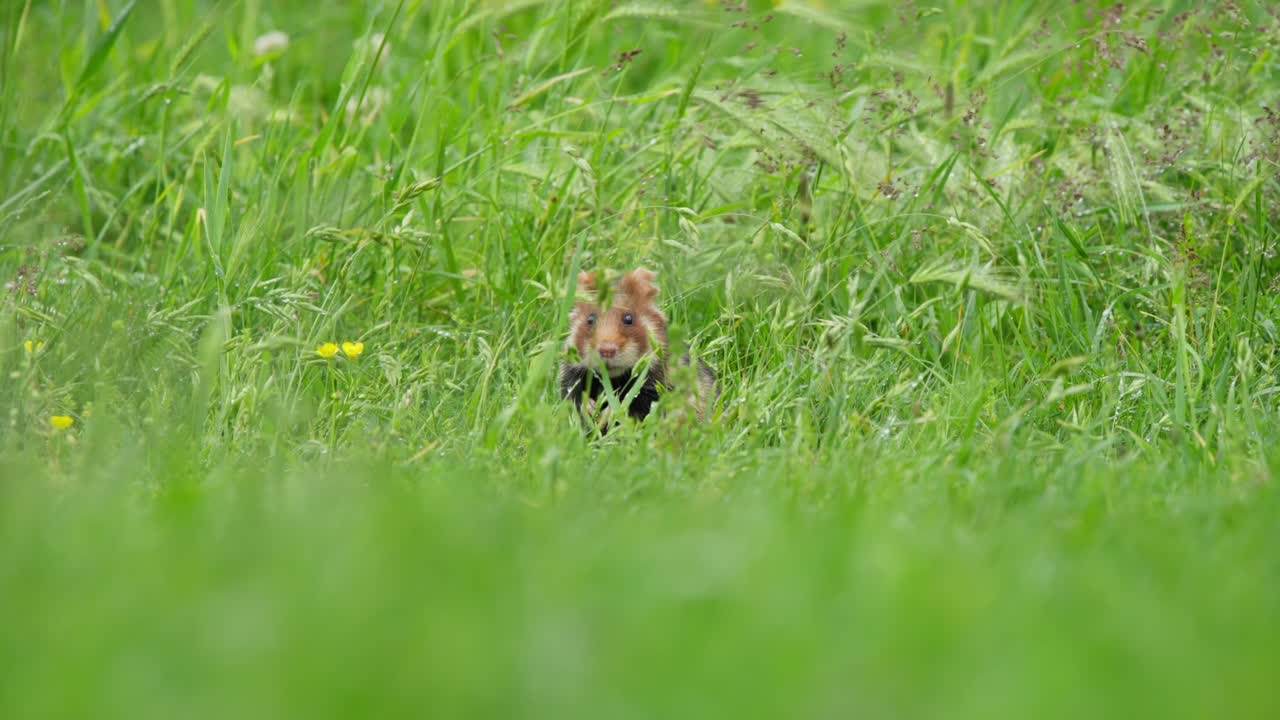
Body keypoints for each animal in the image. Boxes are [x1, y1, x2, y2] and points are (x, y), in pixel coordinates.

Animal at [559, 268, 718, 431]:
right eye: (590, 319)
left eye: (628, 319)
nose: (607, 350)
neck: (615, 379)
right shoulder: (571, 376)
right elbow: (572, 396)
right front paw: (590, 409)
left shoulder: (659, 388)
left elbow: (636, 405)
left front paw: (607, 414)